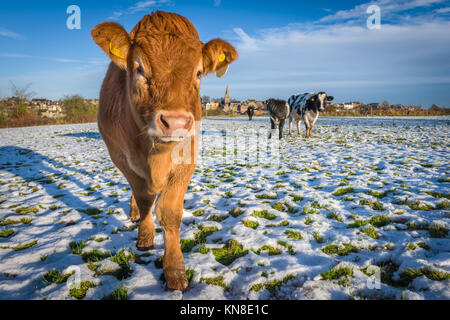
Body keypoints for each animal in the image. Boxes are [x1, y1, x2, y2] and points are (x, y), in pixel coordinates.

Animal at [92, 10, 239, 290]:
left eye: (199, 73)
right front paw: (146, 236)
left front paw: (174, 270)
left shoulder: (187, 156)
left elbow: (169, 212)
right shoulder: (122, 159)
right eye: (138, 68)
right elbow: (145, 200)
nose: (177, 122)